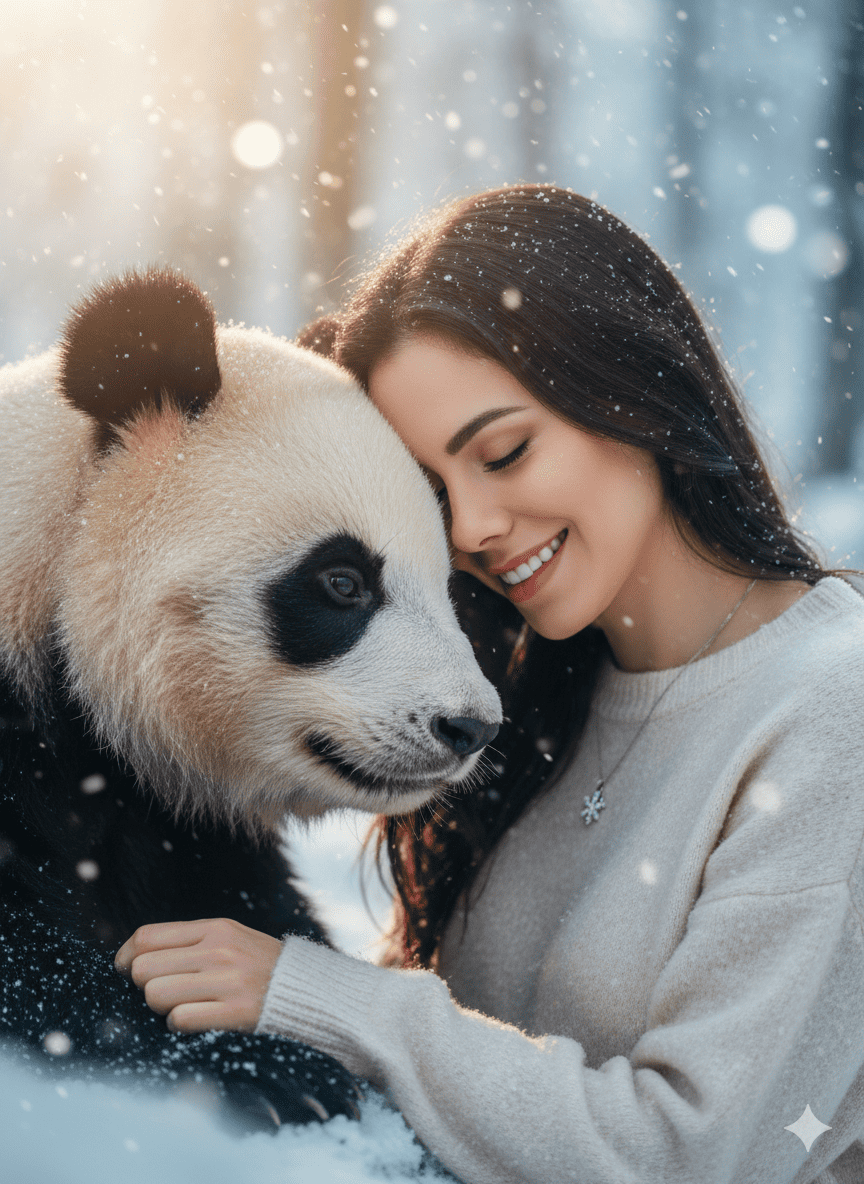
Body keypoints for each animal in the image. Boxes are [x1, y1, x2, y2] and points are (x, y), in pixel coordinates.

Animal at [0, 268, 501, 1131]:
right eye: (343, 582)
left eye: (450, 587)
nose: (469, 725)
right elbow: (32, 959)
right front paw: (272, 1068)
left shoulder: (175, 816)